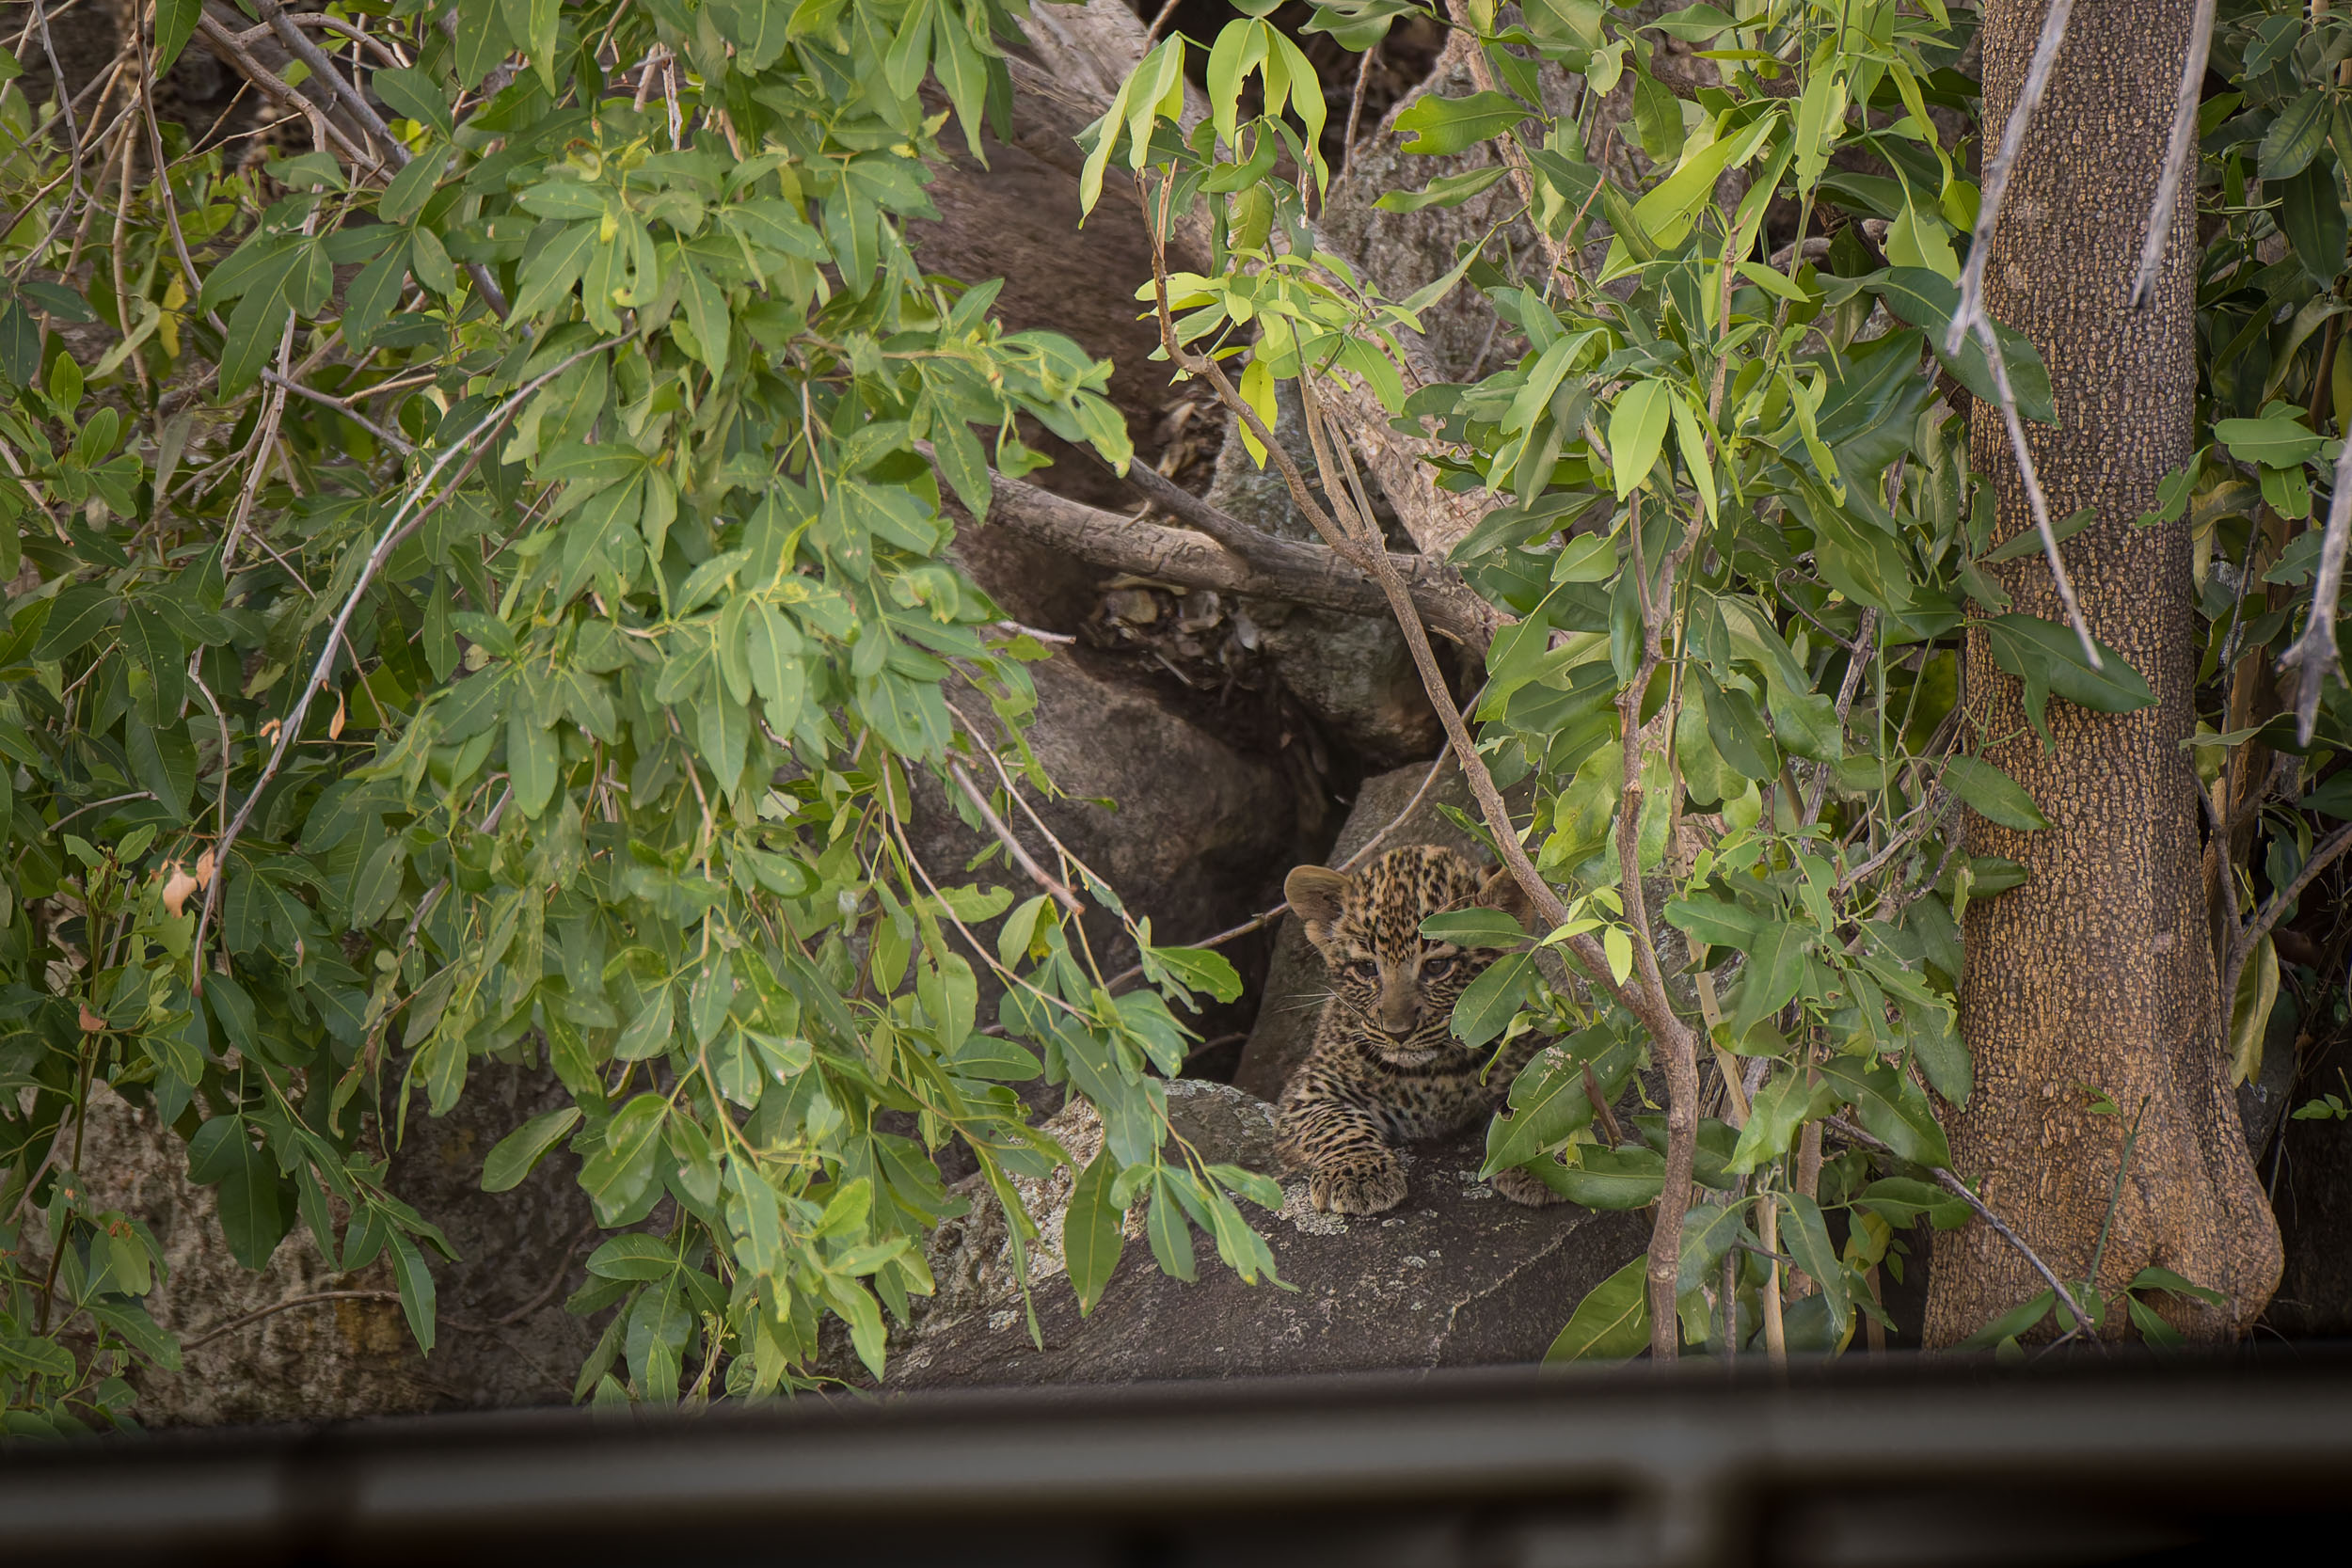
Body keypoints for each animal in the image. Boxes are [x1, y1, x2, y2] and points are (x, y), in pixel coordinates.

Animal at [1275, 844, 1570, 1215]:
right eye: (1366, 969)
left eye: (1437, 966)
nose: (1397, 1032)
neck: (1432, 1074)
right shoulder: (1310, 1088)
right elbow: (1334, 1123)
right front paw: (1359, 1174)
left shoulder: (1534, 1056)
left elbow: (1531, 1107)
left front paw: (1536, 1163)